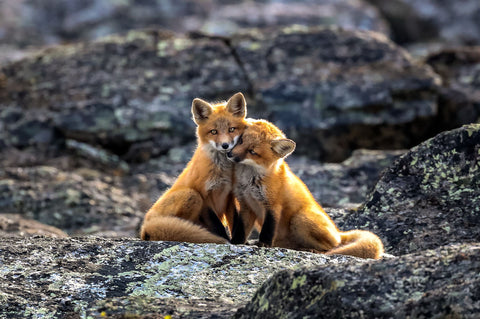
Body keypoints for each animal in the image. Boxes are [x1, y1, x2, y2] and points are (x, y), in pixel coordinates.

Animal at [140, 92, 248, 245]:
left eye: (231, 129)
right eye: (213, 132)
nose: (225, 145)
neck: (222, 172)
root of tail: (144, 227)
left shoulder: (229, 196)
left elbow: (234, 222)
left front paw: (238, 242)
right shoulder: (204, 196)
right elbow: (218, 227)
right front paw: (225, 240)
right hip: (191, 195)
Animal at [227, 119, 384, 258]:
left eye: (252, 151)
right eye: (240, 141)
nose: (229, 154)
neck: (250, 181)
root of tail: (338, 232)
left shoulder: (273, 205)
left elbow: (268, 230)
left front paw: (263, 245)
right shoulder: (246, 205)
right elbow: (241, 230)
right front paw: (236, 243)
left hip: (300, 219)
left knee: (332, 247)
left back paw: (313, 251)